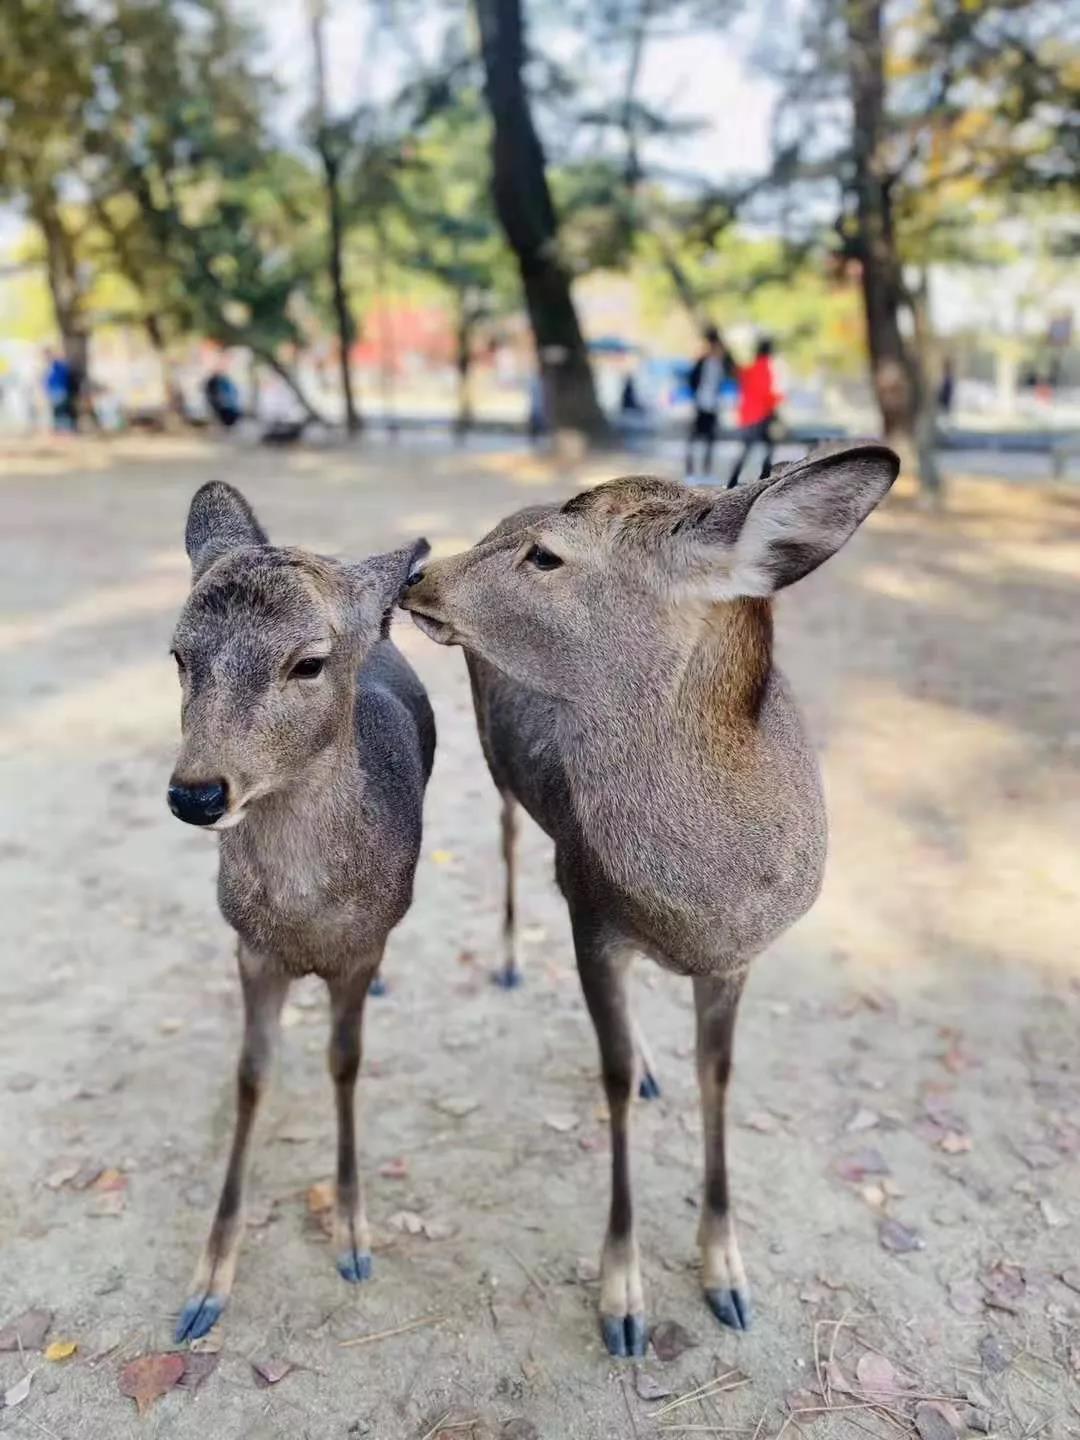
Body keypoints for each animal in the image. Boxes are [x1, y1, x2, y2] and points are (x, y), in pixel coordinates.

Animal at [167, 480, 434, 1336]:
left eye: (308, 662)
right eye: (179, 654)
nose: (196, 793)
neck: (307, 920)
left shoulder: (361, 946)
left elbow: (345, 1060)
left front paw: (353, 1238)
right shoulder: (250, 946)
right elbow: (253, 1074)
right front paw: (206, 1284)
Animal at [403, 443, 898, 1353]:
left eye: (548, 555)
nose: (422, 571)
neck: (699, 902)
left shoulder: (738, 958)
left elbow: (718, 1077)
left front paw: (728, 1276)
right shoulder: (589, 915)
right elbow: (608, 1080)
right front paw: (622, 1300)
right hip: (494, 760)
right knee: (508, 835)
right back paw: (509, 964)